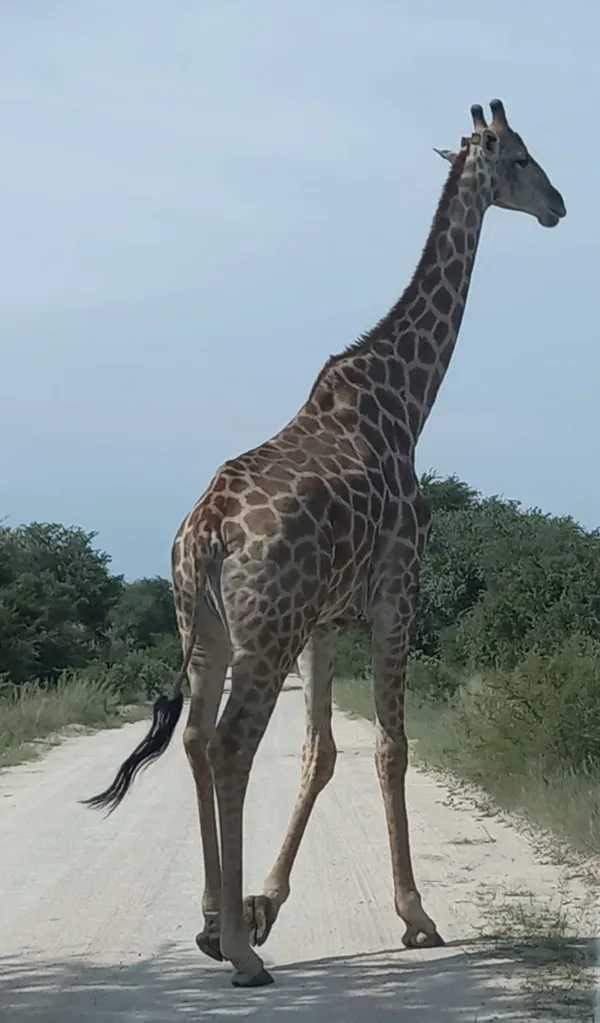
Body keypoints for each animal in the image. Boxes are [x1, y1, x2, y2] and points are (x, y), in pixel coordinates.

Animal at [84, 99, 566, 988]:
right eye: (519, 156)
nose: (558, 205)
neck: (406, 399)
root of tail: (205, 532)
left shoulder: (324, 622)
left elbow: (321, 752)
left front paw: (262, 902)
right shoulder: (396, 593)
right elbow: (389, 747)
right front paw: (414, 915)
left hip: (205, 626)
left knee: (197, 738)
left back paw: (214, 920)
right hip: (262, 632)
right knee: (231, 742)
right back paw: (241, 954)